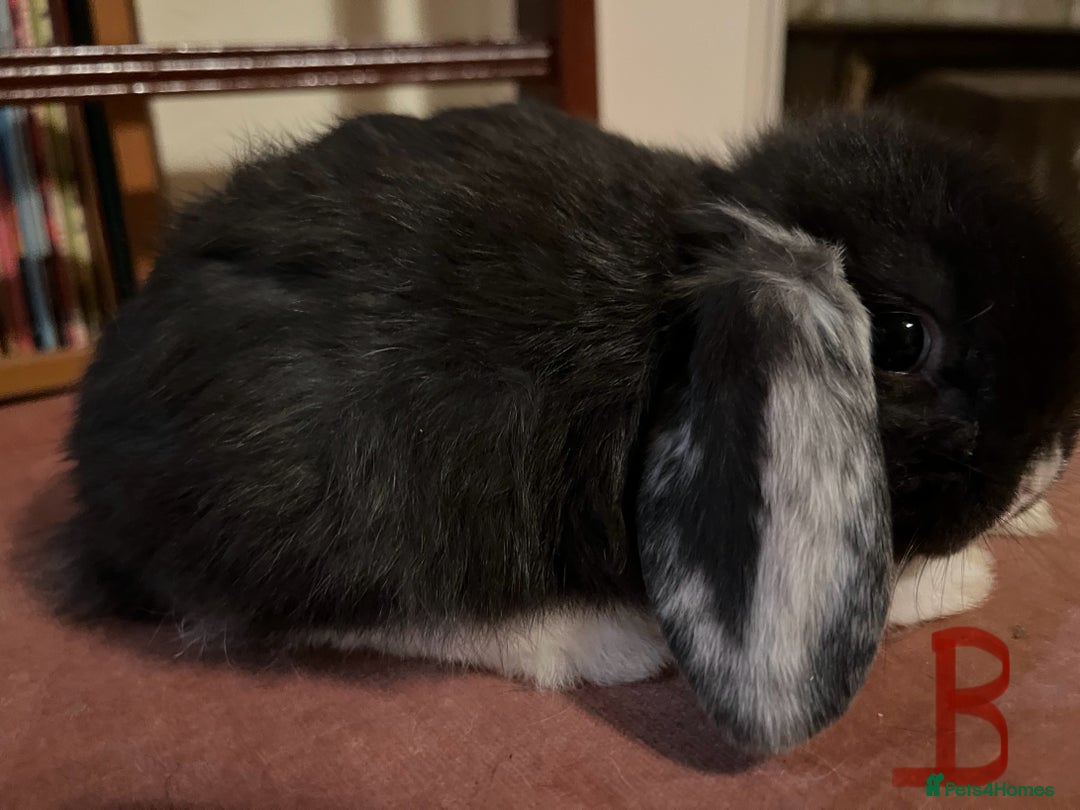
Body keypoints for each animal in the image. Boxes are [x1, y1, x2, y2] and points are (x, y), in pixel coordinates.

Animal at [48, 102, 1080, 755]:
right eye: (902, 337)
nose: (1046, 465)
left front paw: (1030, 523)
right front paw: (970, 575)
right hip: (338, 487)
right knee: (334, 611)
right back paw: (595, 642)